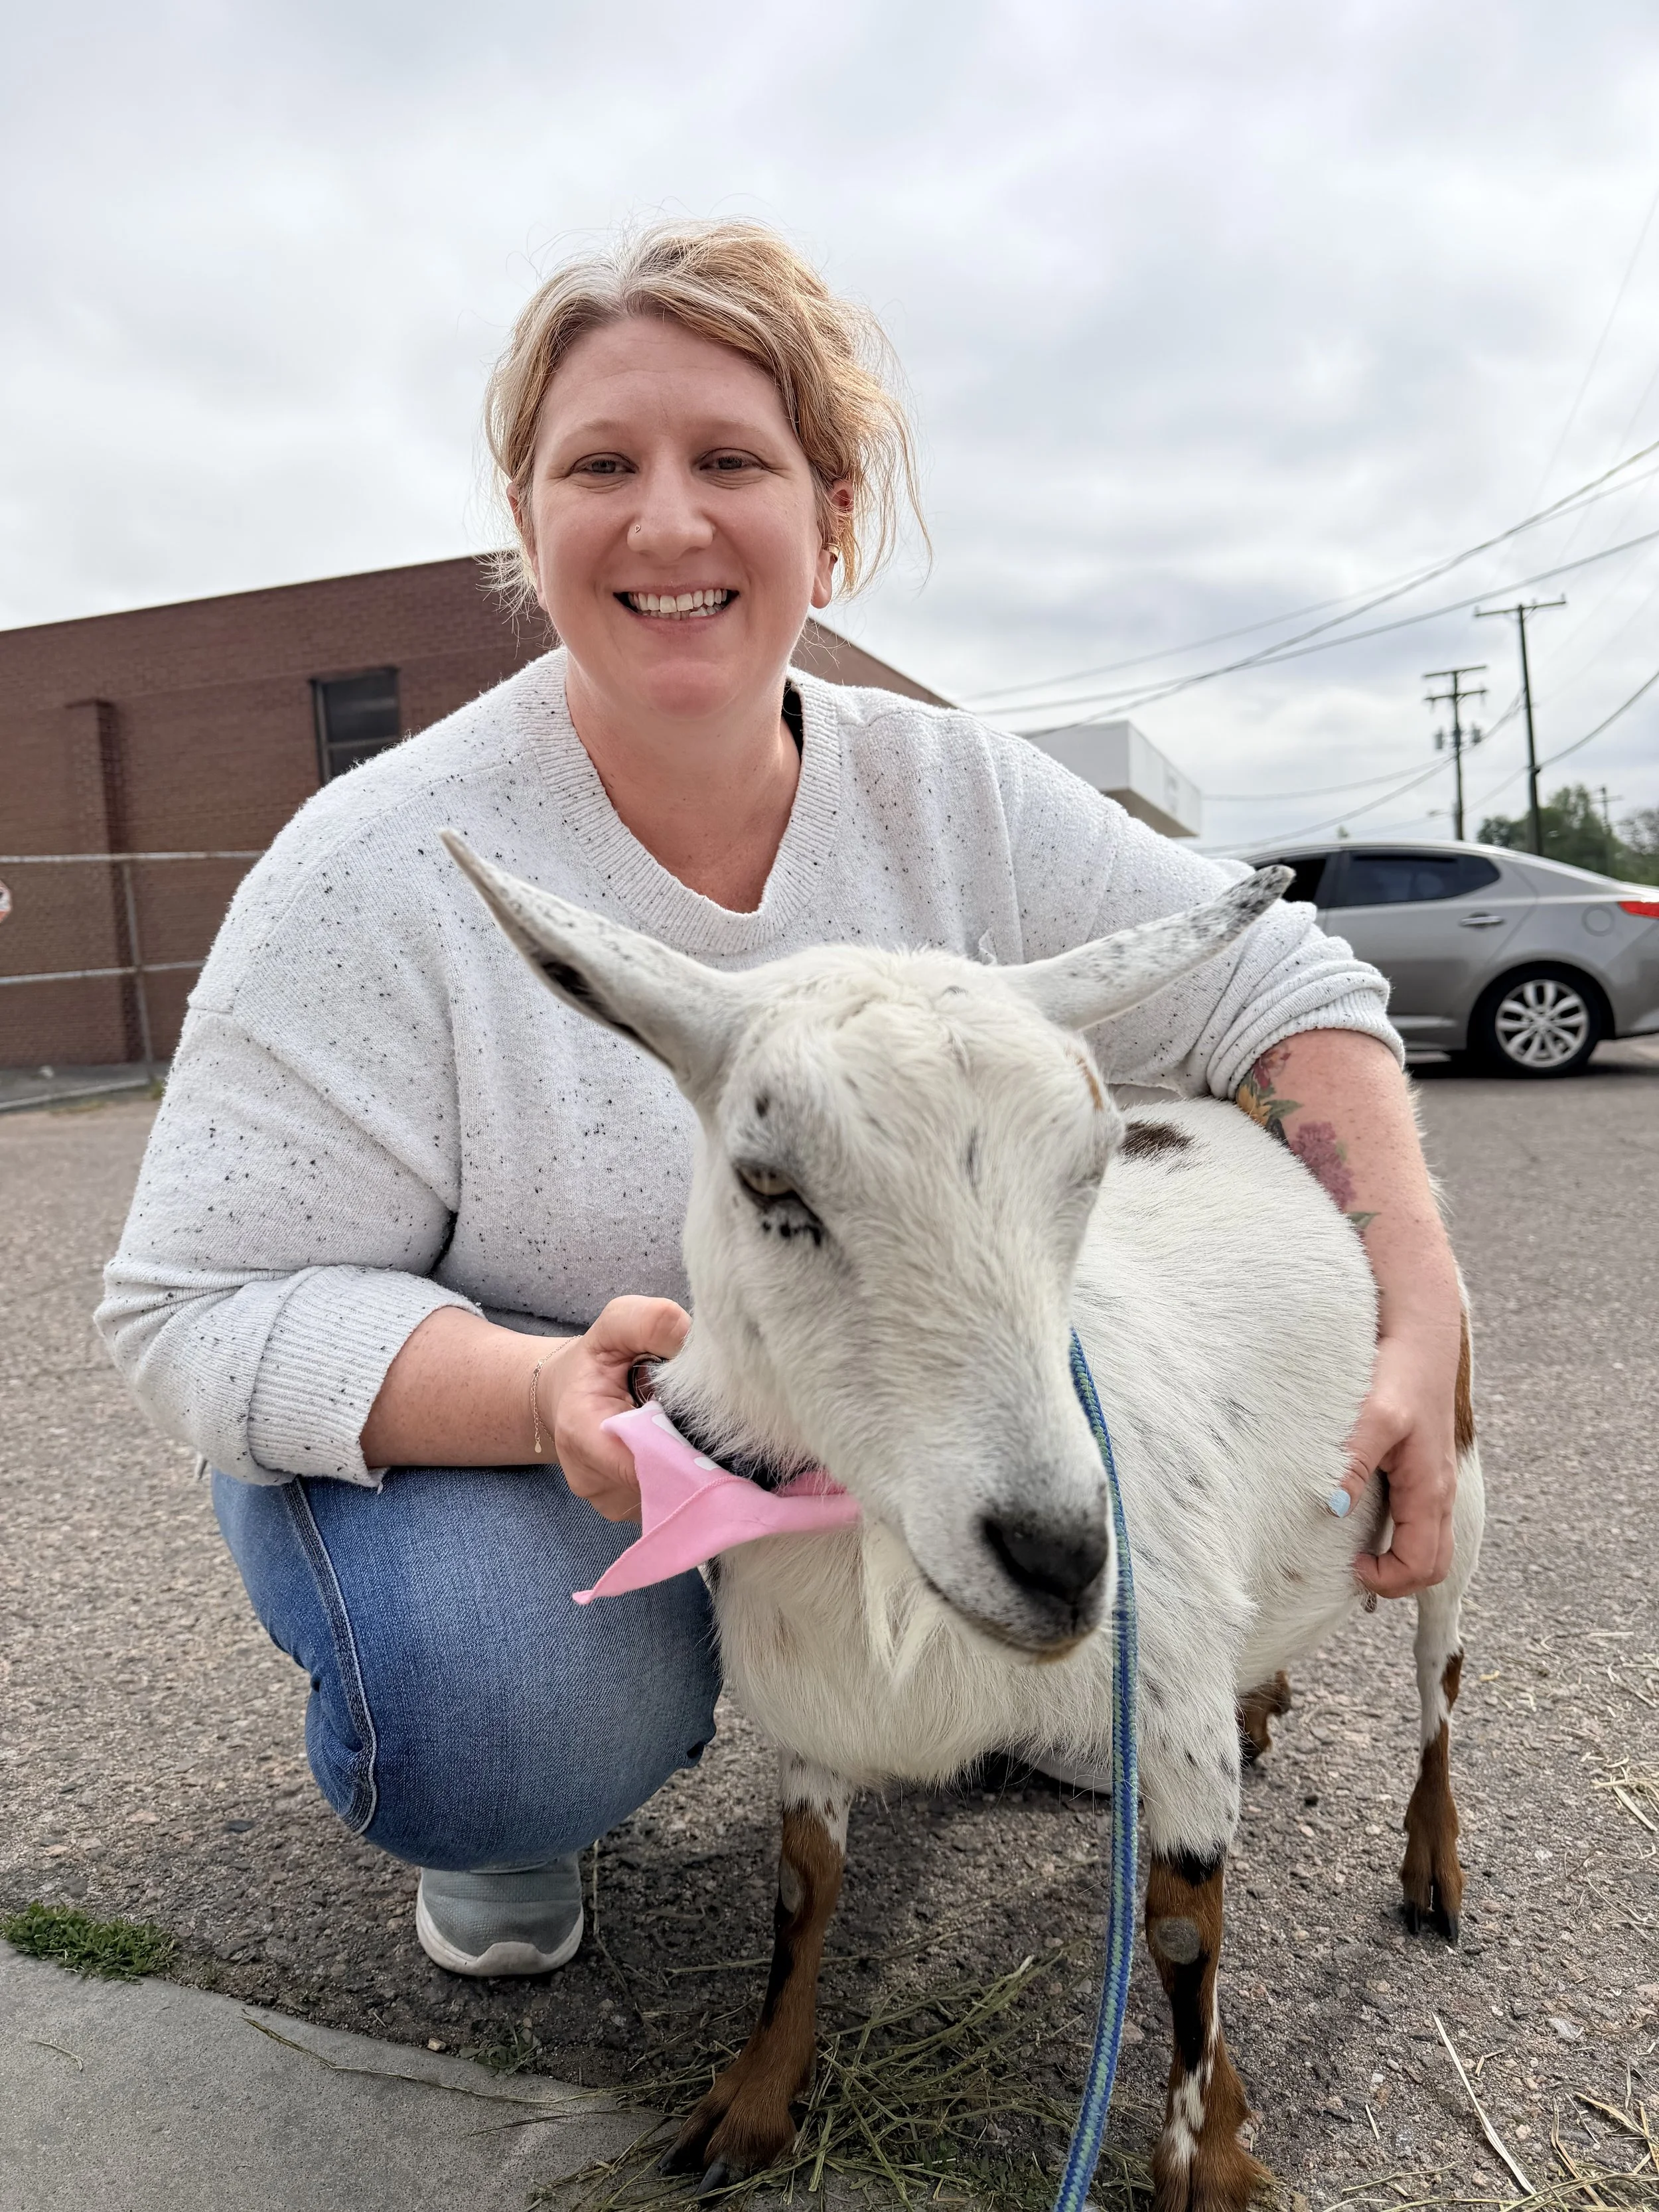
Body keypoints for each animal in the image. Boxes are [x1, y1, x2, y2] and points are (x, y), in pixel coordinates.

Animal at [445, 836, 1484, 2212]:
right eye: (768, 1180)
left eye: (1093, 1163)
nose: (1063, 1558)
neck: (876, 1555)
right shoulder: (814, 1702)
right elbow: (802, 1889)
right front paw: (752, 2098)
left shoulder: (1168, 1699)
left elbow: (1182, 1927)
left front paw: (1206, 2156)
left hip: (1453, 1480)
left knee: (1439, 1684)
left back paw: (1434, 1869)